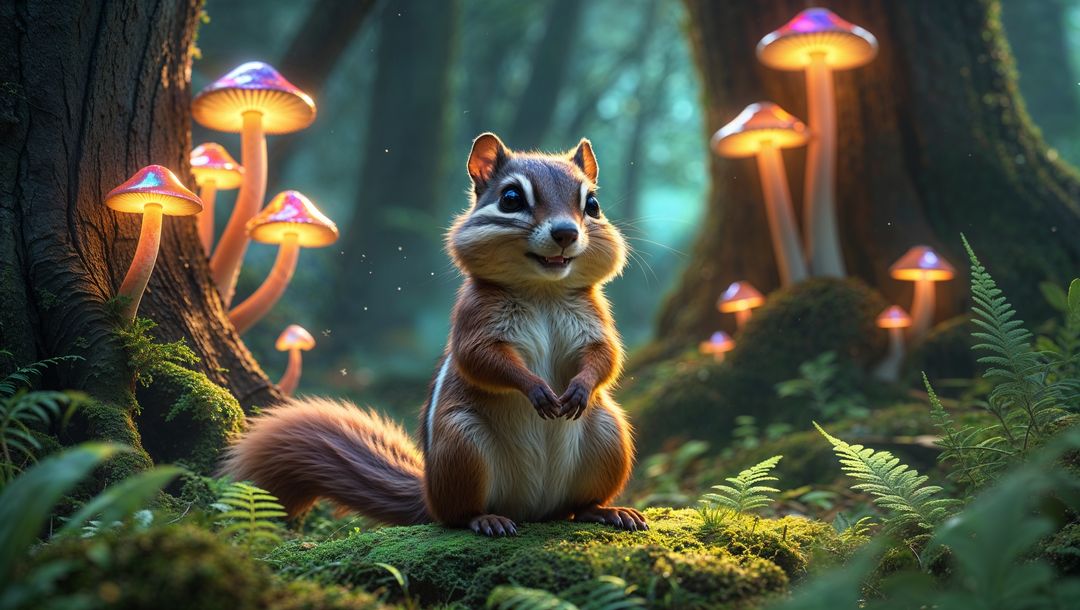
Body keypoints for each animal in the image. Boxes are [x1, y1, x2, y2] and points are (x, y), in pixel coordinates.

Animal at [221, 133, 646, 536]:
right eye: (510, 199)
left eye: (592, 205)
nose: (565, 232)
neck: (543, 288)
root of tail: (533, 510)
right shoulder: (474, 320)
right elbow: (481, 359)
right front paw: (537, 389)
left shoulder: (595, 320)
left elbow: (606, 357)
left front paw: (580, 388)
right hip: (461, 445)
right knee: (456, 515)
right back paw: (486, 520)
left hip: (610, 434)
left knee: (577, 505)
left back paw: (607, 511)